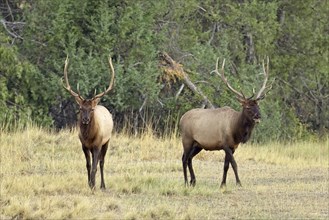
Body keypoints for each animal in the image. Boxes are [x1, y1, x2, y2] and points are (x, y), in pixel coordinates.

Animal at [62, 55, 114, 190]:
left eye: (91, 109)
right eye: (80, 108)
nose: (85, 119)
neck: (89, 137)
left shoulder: (97, 145)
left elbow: (95, 166)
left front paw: (93, 185)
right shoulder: (84, 145)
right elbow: (88, 165)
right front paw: (89, 183)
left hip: (107, 141)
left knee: (102, 162)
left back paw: (103, 185)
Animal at [179, 57, 270, 187]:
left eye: (258, 106)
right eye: (247, 107)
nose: (258, 116)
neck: (236, 131)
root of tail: (181, 118)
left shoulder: (233, 147)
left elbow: (226, 166)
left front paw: (223, 184)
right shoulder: (225, 144)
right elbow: (234, 164)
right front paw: (239, 183)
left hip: (198, 144)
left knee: (190, 158)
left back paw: (193, 181)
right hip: (187, 139)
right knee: (184, 158)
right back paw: (186, 182)